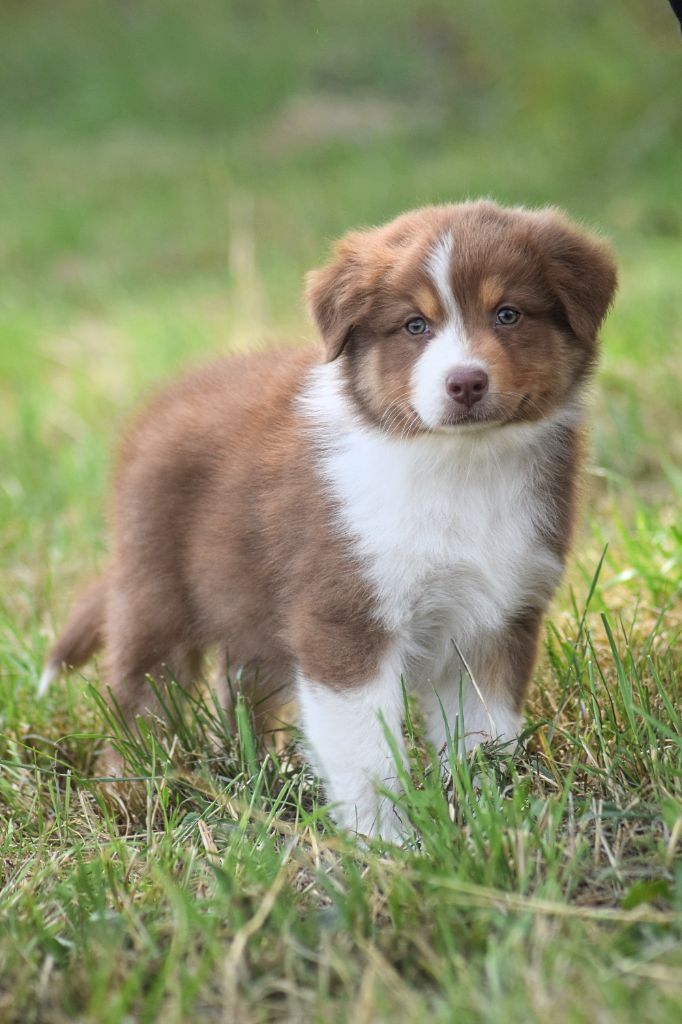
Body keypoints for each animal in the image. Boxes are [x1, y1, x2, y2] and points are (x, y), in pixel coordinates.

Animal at [40, 200, 617, 840]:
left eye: (508, 314)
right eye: (414, 326)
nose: (465, 382)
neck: (460, 467)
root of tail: (161, 402)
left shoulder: (496, 617)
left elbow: (483, 733)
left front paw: (489, 814)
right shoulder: (343, 618)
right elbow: (365, 752)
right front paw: (387, 841)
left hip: (248, 604)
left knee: (241, 687)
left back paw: (259, 768)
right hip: (156, 591)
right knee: (140, 696)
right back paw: (131, 790)